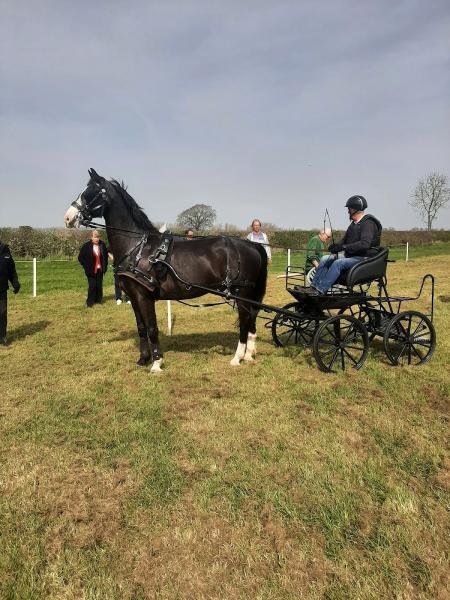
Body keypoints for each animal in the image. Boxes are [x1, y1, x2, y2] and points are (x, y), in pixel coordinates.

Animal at [63, 169, 268, 372]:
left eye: (91, 192)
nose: (68, 217)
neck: (138, 248)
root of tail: (252, 245)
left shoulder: (144, 296)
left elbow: (152, 328)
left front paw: (156, 363)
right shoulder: (134, 296)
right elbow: (141, 328)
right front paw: (142, 360)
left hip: (242, 293)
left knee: (245, 321)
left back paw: (237, 357)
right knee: (251, 319)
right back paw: (249, 355)